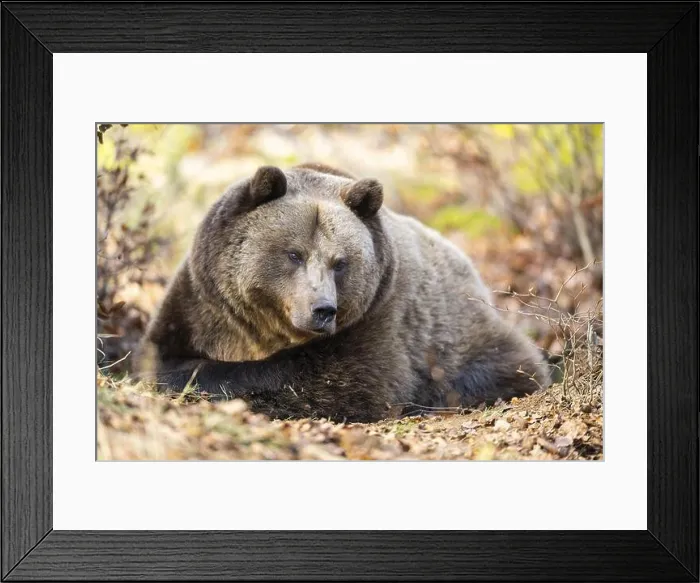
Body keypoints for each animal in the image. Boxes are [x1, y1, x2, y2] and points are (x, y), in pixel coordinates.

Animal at [134, 163, 549, 422]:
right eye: (294, 254)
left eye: (341, 262)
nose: (323, 309)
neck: (265, 330)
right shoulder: (201, 303)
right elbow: (159, 351)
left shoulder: (378, 318)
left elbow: (339, 383)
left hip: (458, 336)